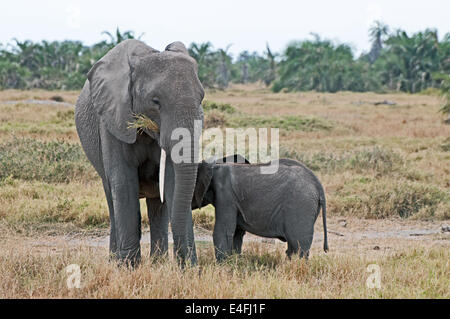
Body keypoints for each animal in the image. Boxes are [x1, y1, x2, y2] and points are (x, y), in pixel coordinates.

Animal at [74, 38, 205, 266]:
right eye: (156, 101)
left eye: (202, 98)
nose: (190, 265)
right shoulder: (112, 119)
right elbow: (124, 184)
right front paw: (128, 267)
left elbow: (172, 183)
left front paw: (187, 268)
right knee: (112, 198)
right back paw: (115, 261)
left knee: (158, 205)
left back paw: (157, 262)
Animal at [192, 156, 328, 262]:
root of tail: (318, 185)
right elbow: (237, 233)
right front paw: (234, 262)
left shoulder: (226, 196)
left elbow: (222, 231)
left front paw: (223, 267)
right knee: (293, 247)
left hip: (300, 204)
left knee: (299, 246)